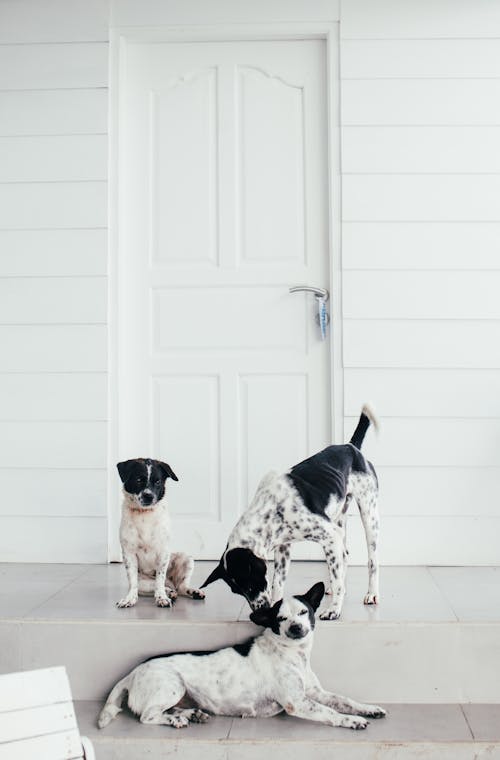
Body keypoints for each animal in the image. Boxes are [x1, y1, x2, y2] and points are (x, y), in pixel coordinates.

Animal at [97, 580, 386, 732]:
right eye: (281, 618)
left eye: (304, 612)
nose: (295, 628)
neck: (294, 654)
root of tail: (131, 674)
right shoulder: (298, 702)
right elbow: (331, 712)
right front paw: (353, 720)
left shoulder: (316, 693)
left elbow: (344, 700)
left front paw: (368, 709)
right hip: (172, 685)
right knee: (147, 717)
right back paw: (177, 720)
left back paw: (191, 714)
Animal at [116, 458, 204, 612]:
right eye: (138, 480)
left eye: (157, 482)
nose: (148, 496)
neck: (144, 513)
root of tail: (171, 583)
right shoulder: (129, 554)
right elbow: (133, 583)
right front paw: (129, 599)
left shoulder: (163, 553)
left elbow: (160, 578)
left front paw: (162, 598)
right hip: (143, 582)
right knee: (156, 586)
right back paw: (170, 592)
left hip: (186, 558)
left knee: (179, 586)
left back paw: (190, 591)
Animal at [199, 406, 378, 620]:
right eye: (238, 591)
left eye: (250, 585)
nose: (258, 612)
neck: (270, 509)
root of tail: (350, 447)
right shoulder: (284, 548)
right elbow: (278, 583)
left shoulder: (329, 536)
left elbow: (336, 580)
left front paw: (334, 610)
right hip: (339, 519)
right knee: (344, 555)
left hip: (368, 515)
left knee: (371, 560)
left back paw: (371, 593)